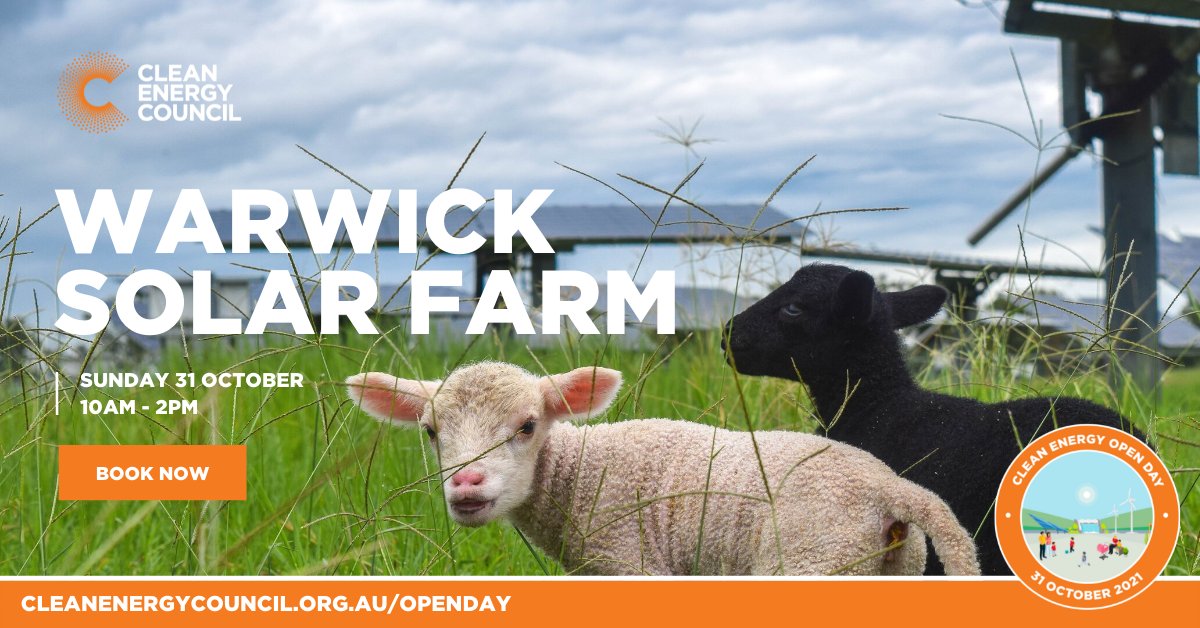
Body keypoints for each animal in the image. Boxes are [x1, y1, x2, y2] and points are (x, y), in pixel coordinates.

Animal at [346, 361, 981, 576]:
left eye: (528, 426)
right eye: (430, 433)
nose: (466, 486)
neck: (579, 472)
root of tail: (889, 487)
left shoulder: (630, 561)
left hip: (813, 558)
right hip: (895, 565)